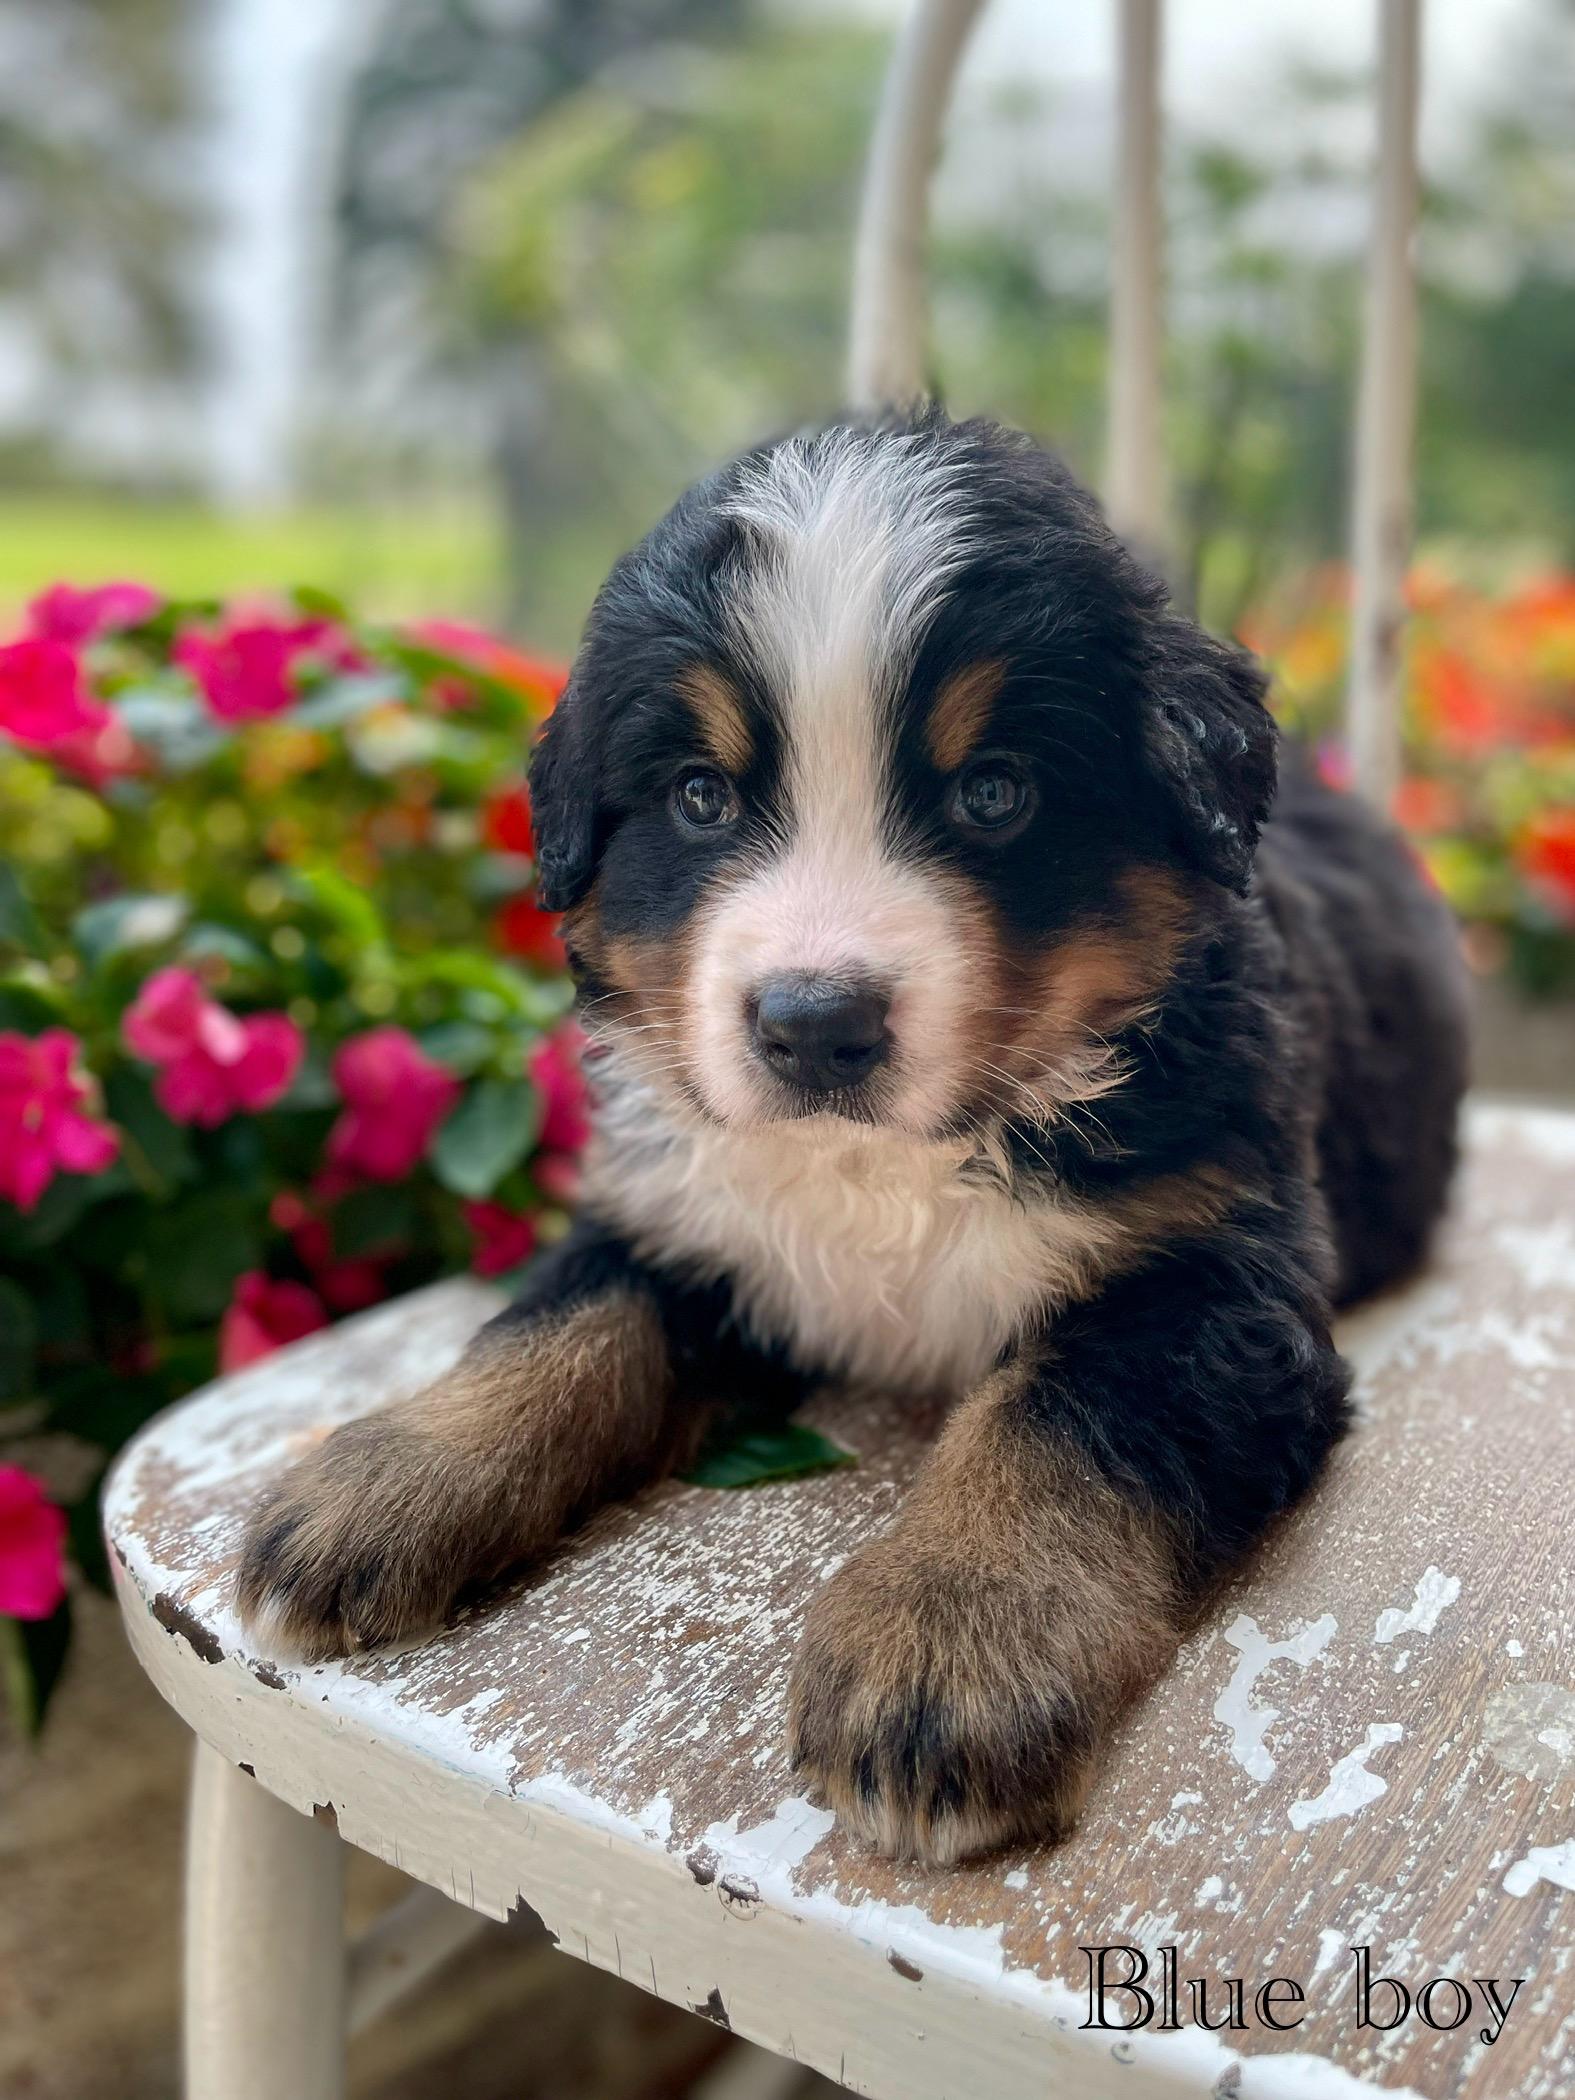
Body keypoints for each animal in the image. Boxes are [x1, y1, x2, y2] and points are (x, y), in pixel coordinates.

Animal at [238, 411, 1469, 1864]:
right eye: (700, 798)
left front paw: (950, 1639)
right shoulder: (683, 1215)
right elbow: (560, 1325)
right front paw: (386, 1476)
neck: (886, 1167)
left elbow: (1055, 1425)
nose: (812, 1025)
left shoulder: (1206, 1284)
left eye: (993, 793)